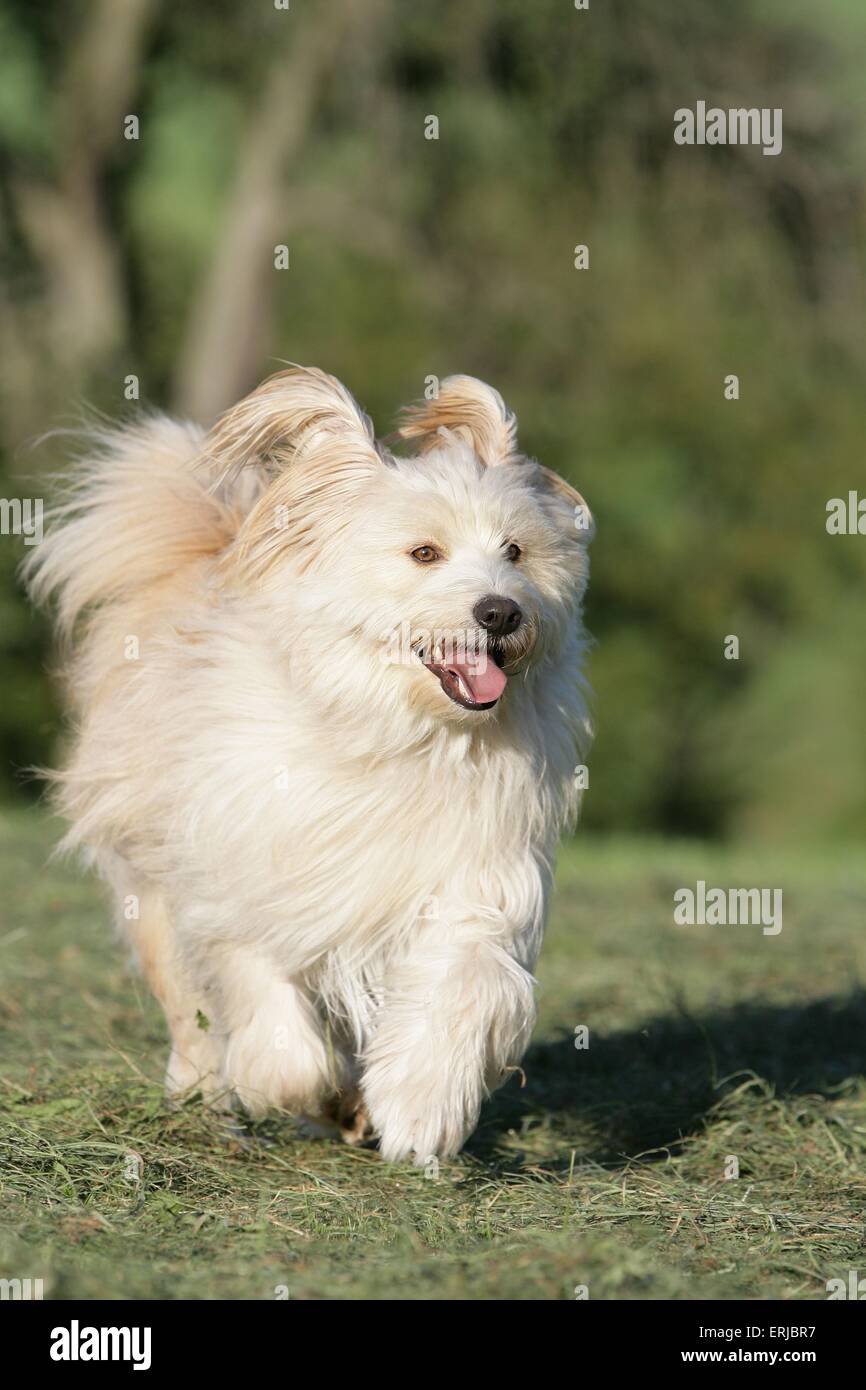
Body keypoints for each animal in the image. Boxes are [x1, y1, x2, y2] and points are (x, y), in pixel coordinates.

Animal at [27, 366, 594, 1162]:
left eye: (515, 551)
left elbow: (463, 981)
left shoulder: (475, 876)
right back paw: (204, 1096)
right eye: (424, 553)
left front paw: (418, 1106)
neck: (393, 732)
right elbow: (271, 1023)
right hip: (148, 876)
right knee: (187, 1006)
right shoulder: (240, 879)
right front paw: (317, 1095)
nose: (501, 612)